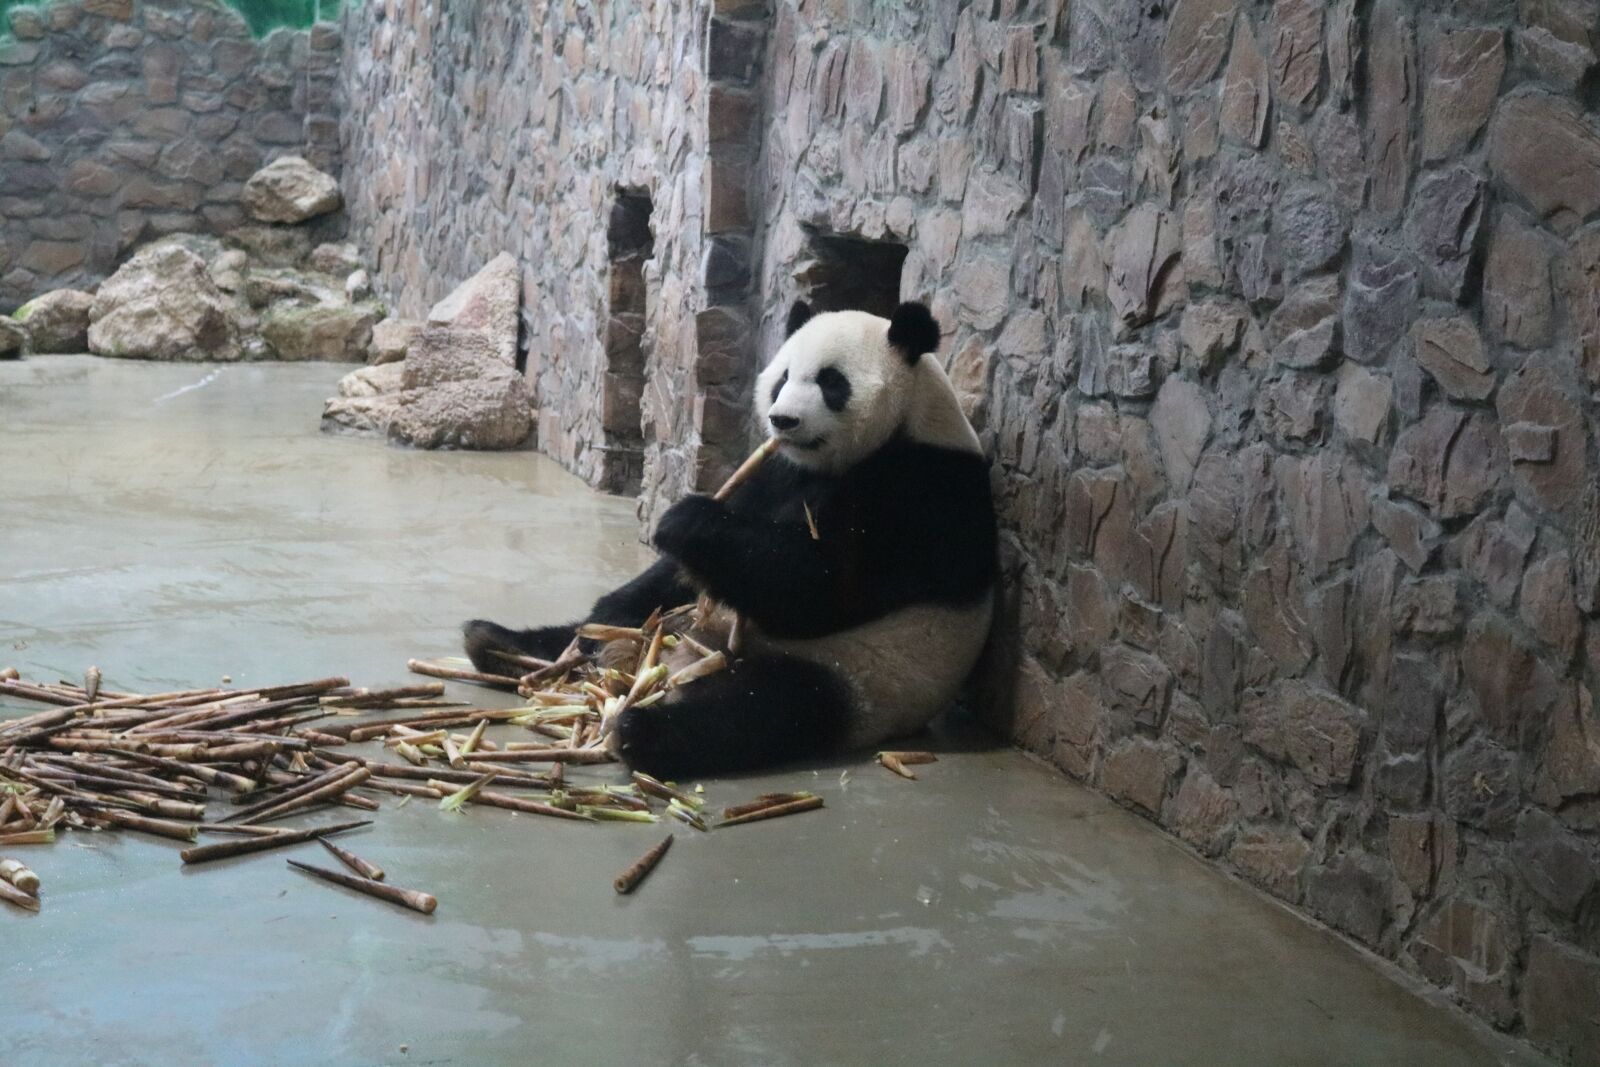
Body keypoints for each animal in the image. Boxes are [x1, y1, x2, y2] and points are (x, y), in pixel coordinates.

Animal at [462, 300, 998, 777]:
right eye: (783, 377)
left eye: (831, 382)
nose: (783, 420)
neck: (908, 425)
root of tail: (678, 659)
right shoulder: (780, 470)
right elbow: (683, 572)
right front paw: (615, 606)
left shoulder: (921, 493)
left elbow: (822, 589)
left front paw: (686, 517)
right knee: (595, 631)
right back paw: (506, 645)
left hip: (858, 676)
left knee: (768, 708)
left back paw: (640, 729)